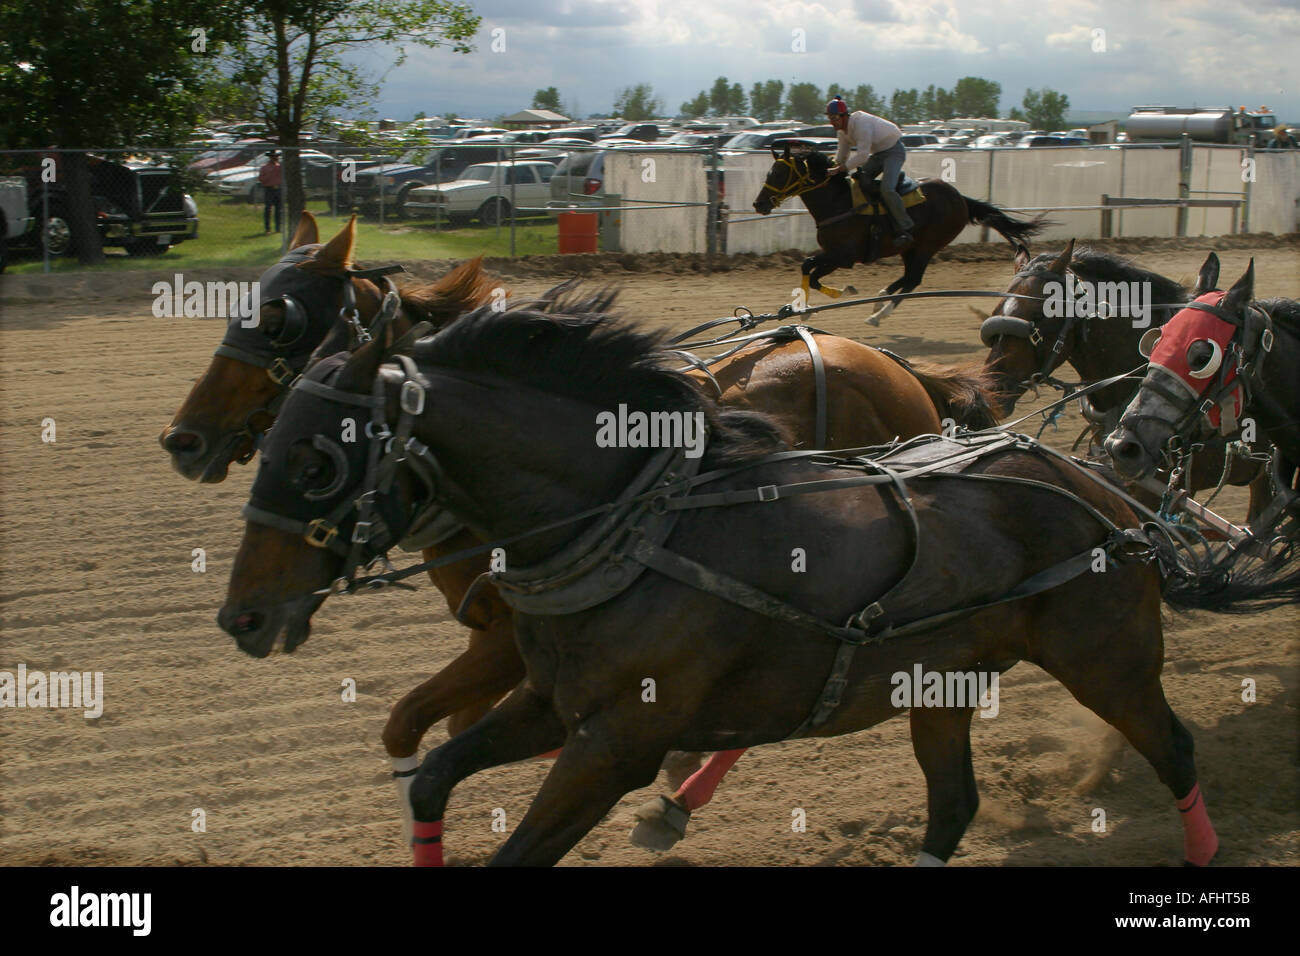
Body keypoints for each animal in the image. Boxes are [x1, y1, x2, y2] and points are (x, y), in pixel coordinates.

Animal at [159, 214, 993, 842]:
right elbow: (442, 726)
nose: (183, 439)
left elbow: (409, 720)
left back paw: (675, 801)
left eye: (278, 319)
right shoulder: (502, 641)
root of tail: (904, 371)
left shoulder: (506, 640)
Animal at [220, 304, 1216, 868]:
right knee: (954, 803)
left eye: (314, 463)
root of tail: (1099, 487)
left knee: (1174, 749)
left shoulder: (614, 744)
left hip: (1109, 661)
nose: (241, 617)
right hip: (939, 681)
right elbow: (429, 778)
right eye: (269, 446)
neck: (637, 534)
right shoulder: (549, 703)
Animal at [754, 141, 1045, 321]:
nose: (759, 204)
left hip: (929, 245)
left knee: (913, 280)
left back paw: (877, 315)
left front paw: (843, 291)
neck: (839, 203)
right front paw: (805, 309)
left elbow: (813, 274)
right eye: (770, 172)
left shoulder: (842, 256)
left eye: (779, 173)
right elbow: (807, 267)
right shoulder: (830, 253)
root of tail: (961, 198)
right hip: (910, 247)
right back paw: (879, 300)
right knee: (907, 278)